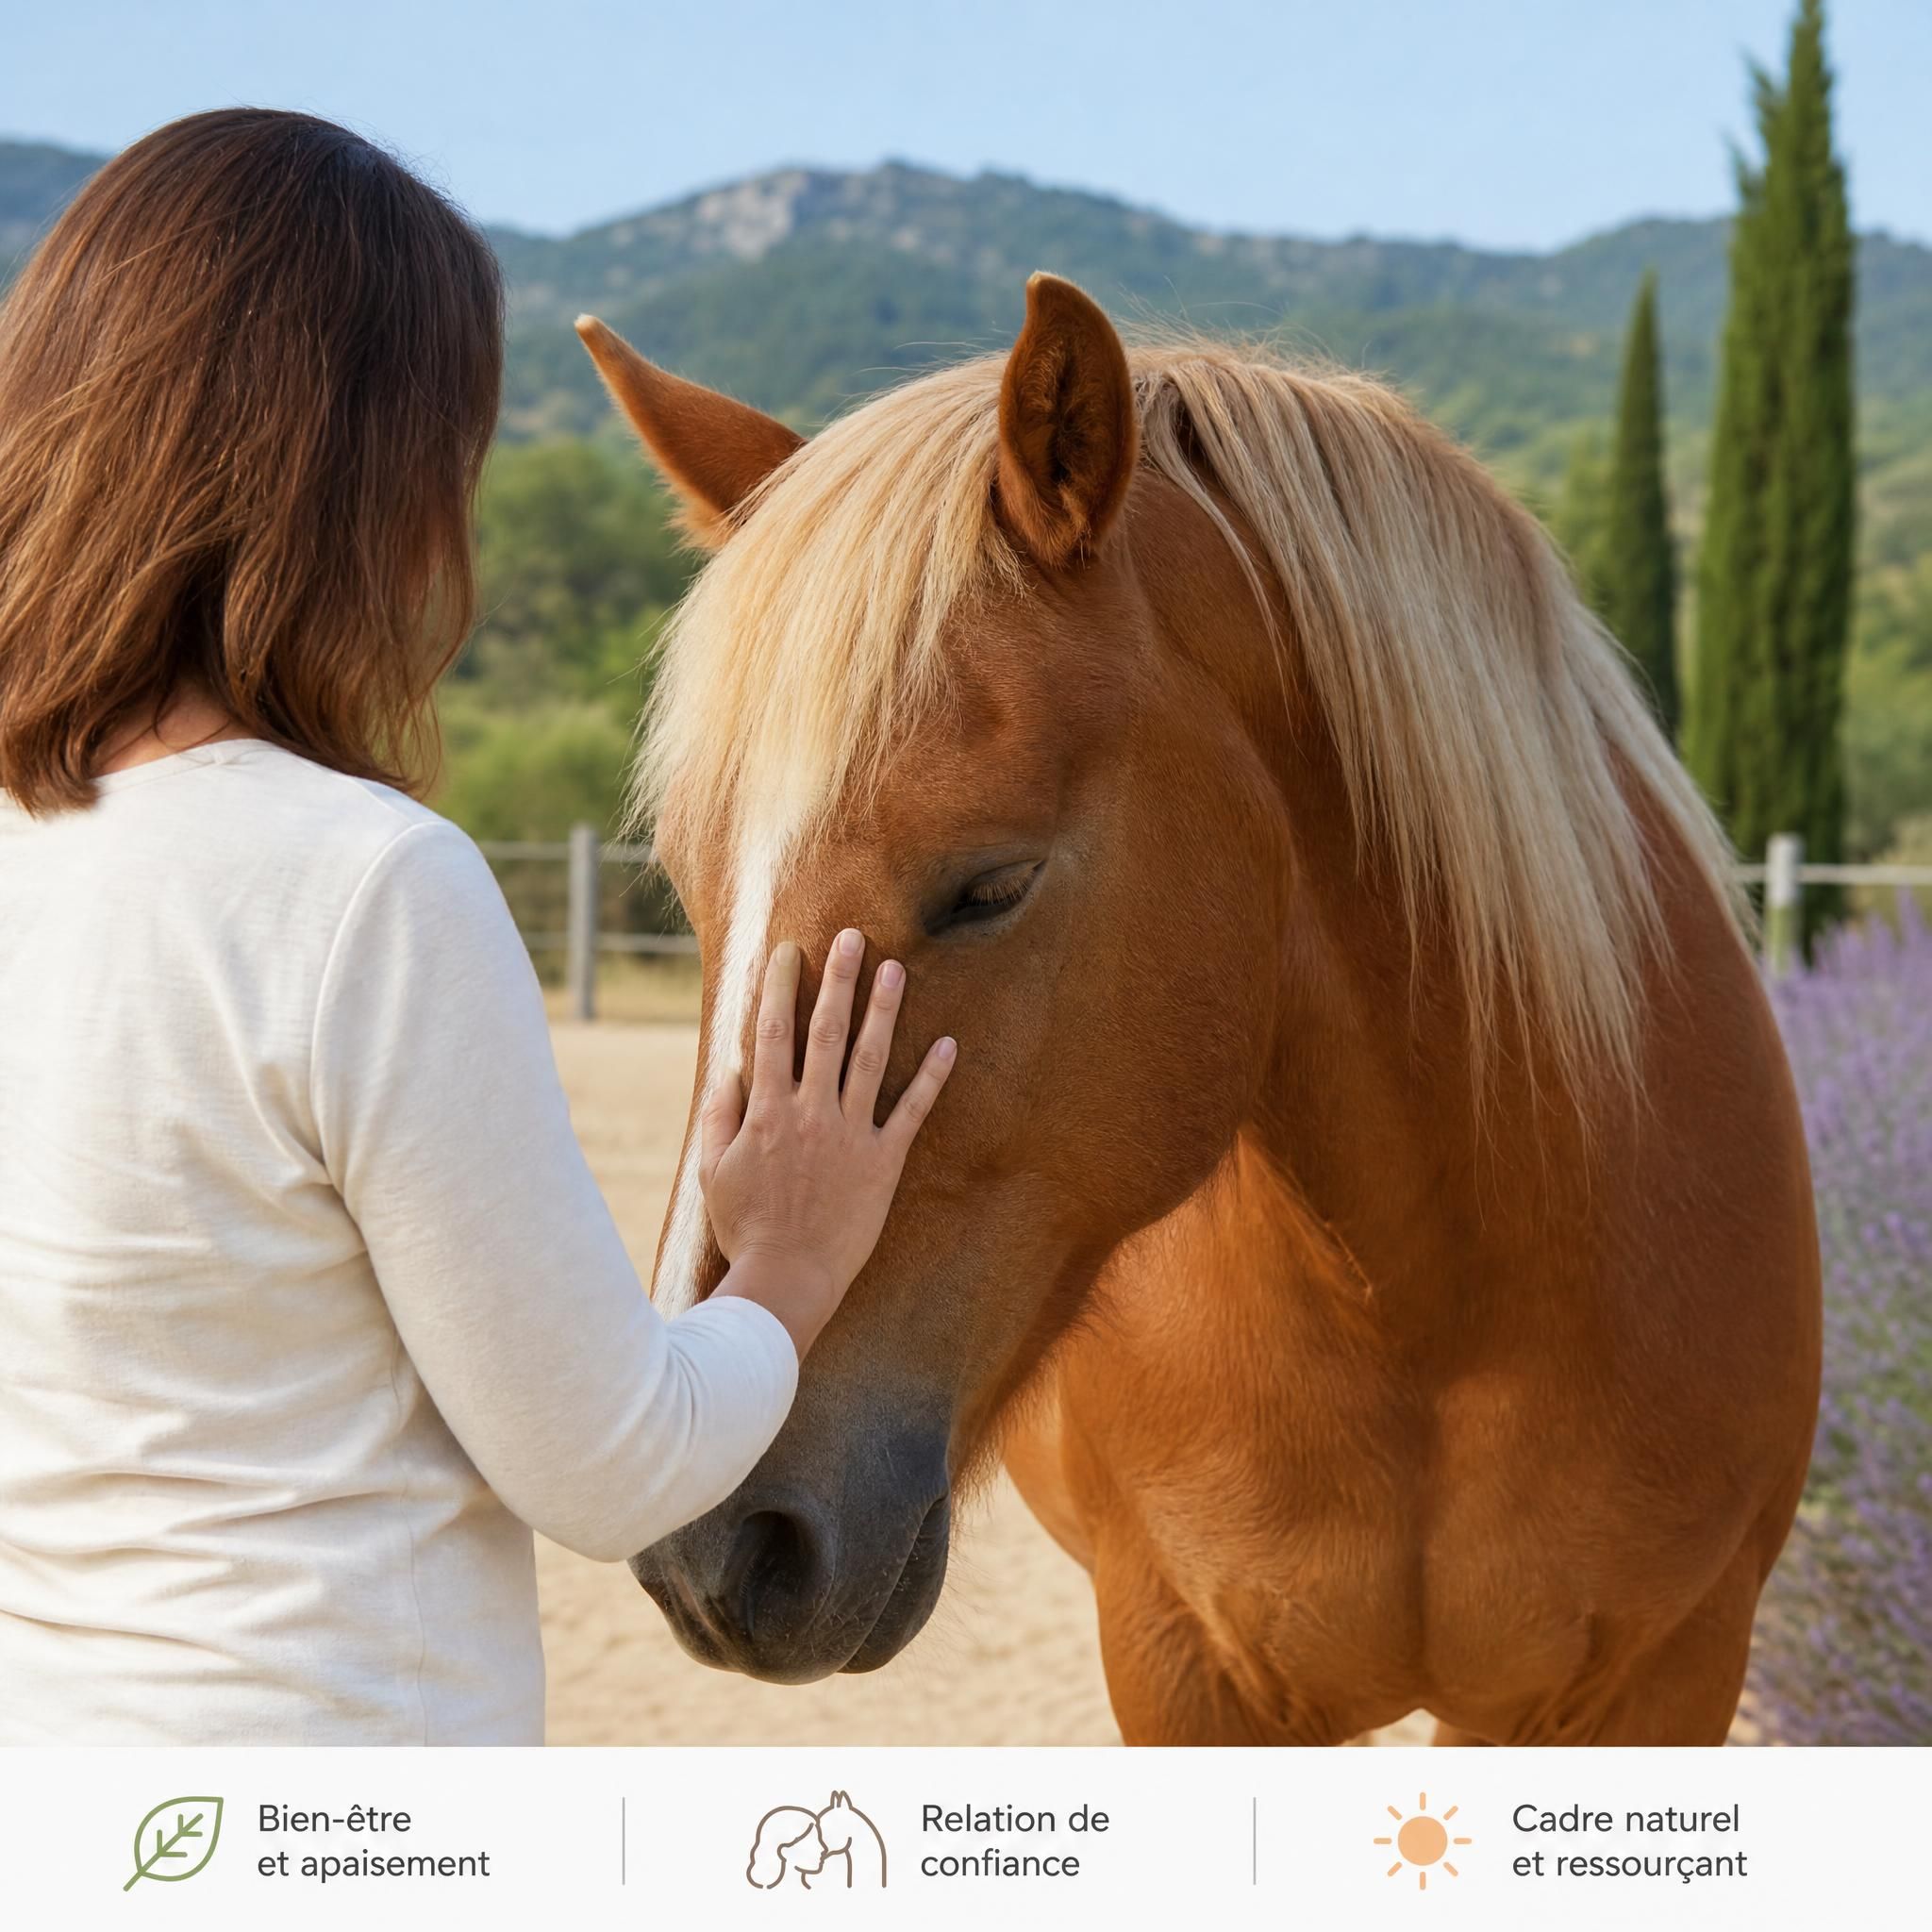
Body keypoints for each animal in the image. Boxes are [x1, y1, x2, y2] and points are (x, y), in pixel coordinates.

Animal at [575, 271, 1822, 1745]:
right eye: (690, 890)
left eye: (990, 885)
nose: (704, 1541)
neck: (1435, 1310)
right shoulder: (1184, 1666)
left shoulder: (1658, 1680)